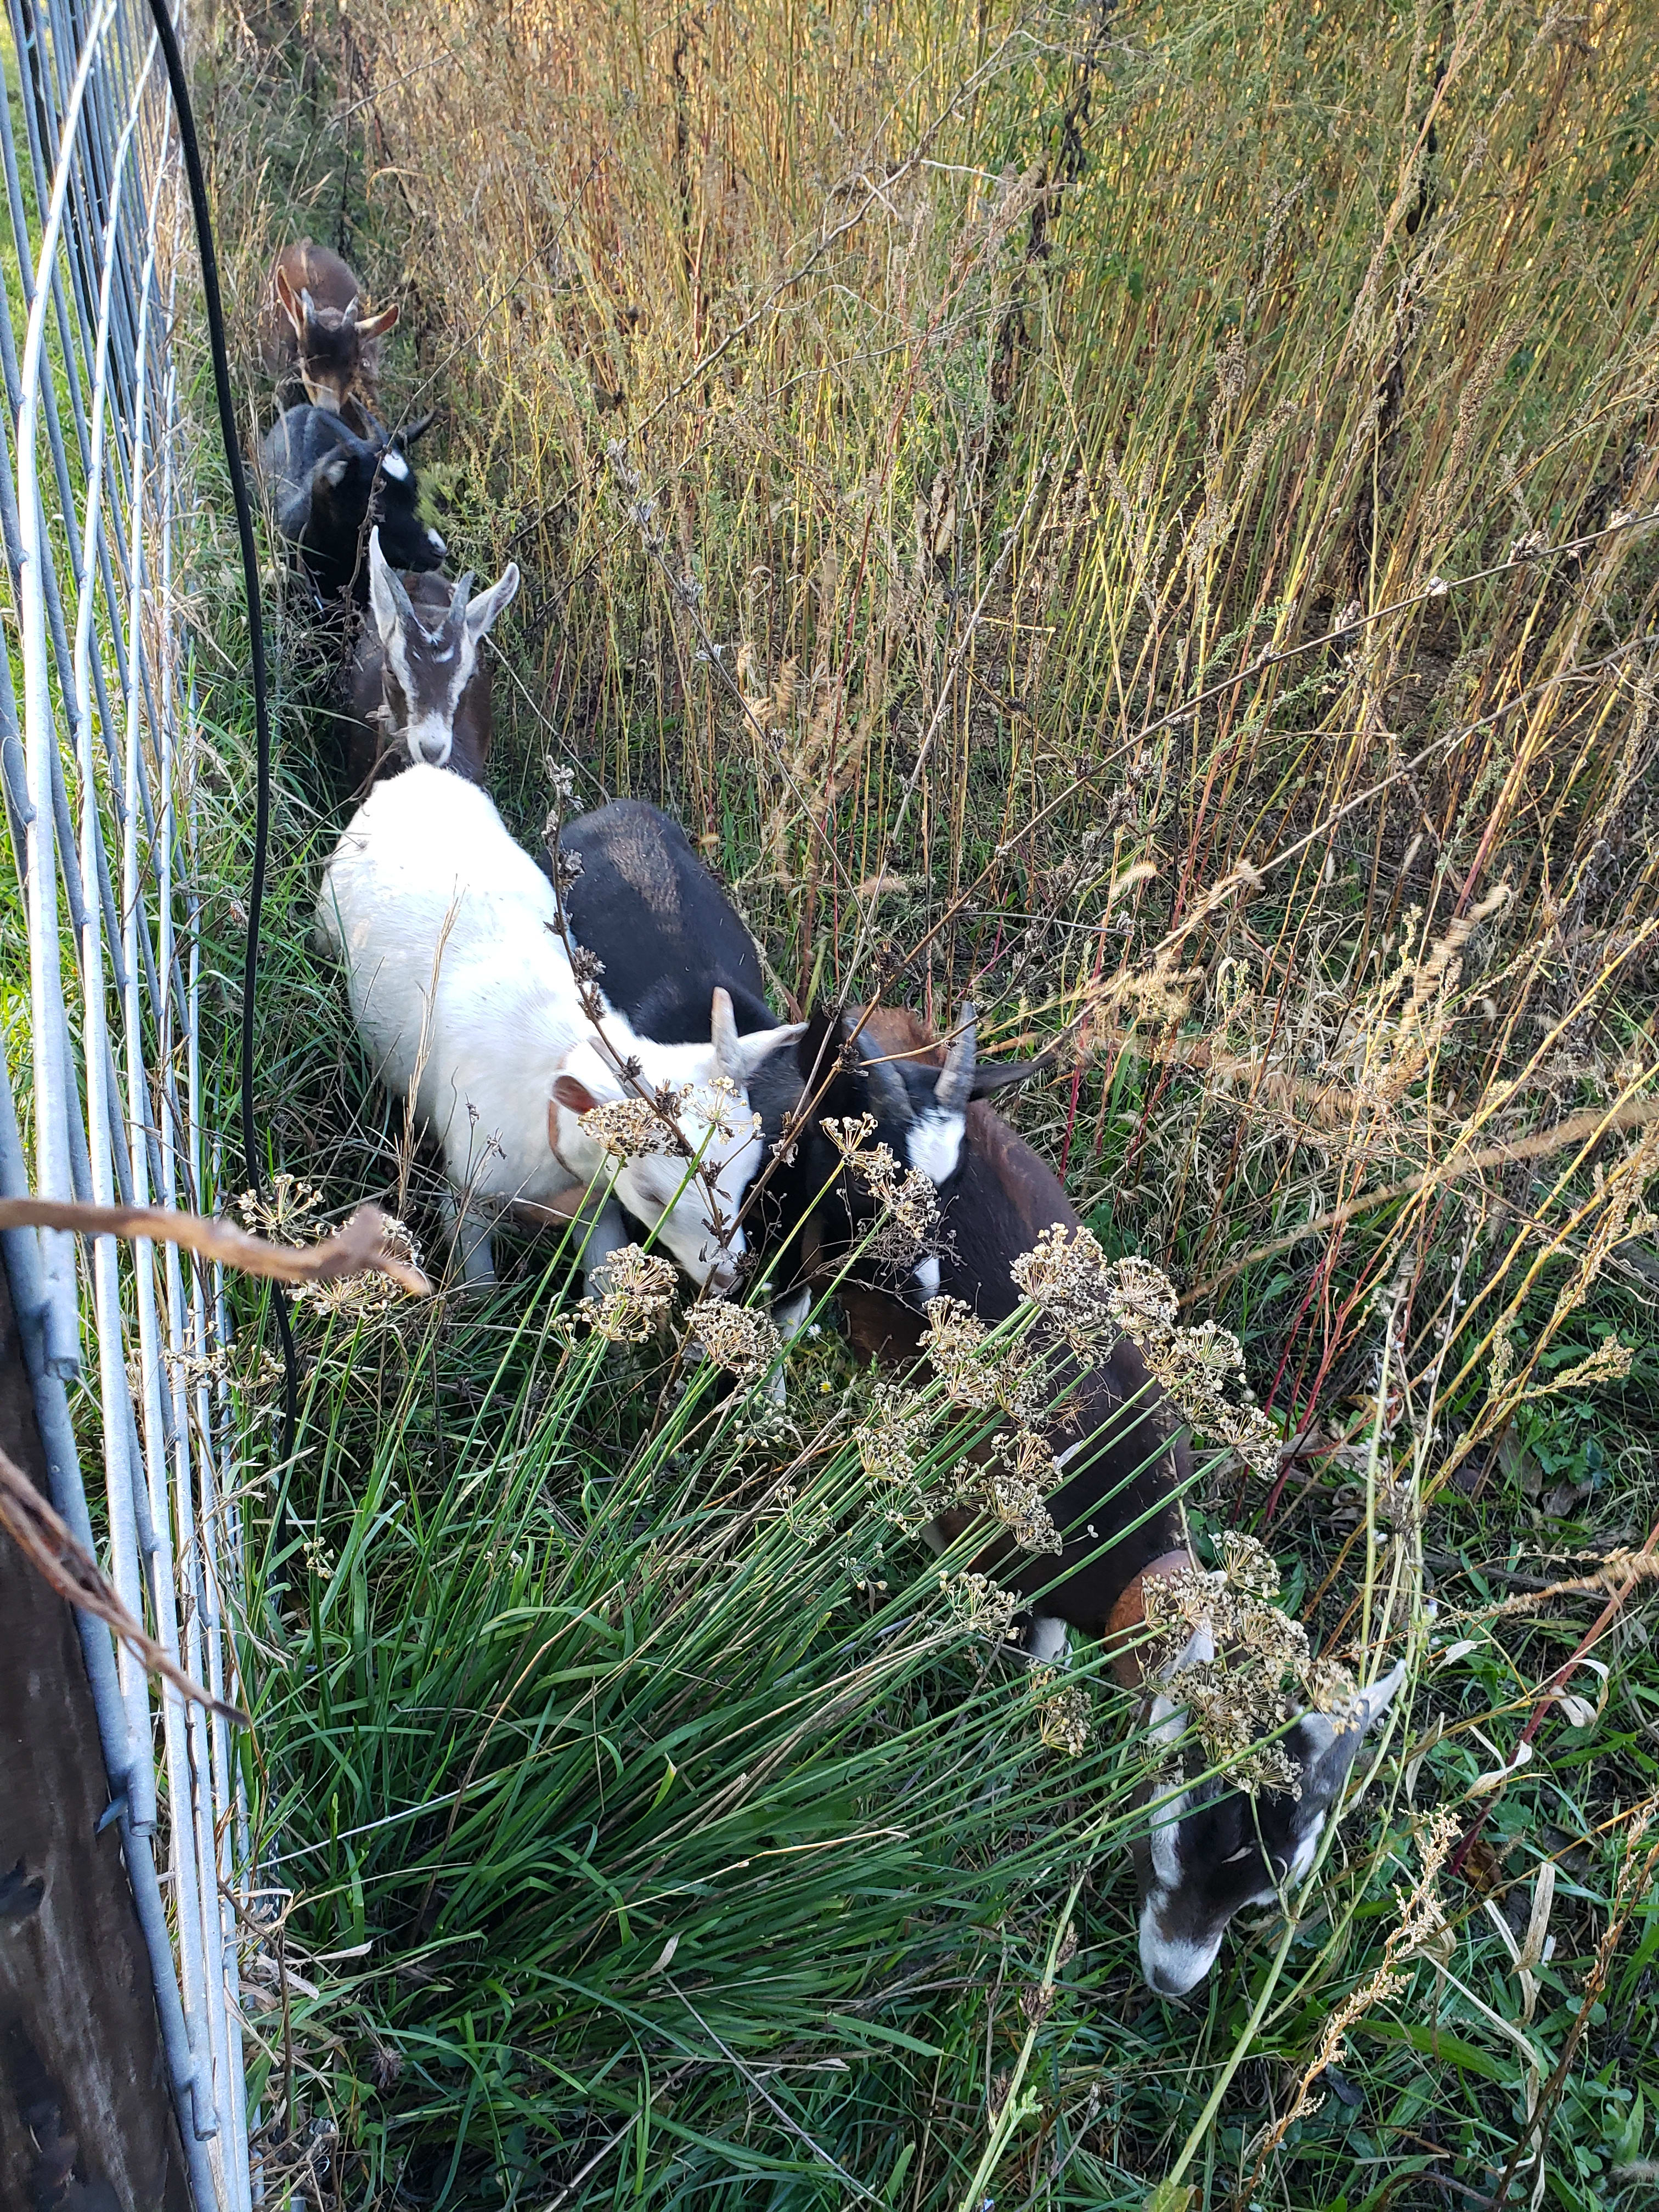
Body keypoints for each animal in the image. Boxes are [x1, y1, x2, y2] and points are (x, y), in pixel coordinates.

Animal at [315, 766, 803, 1289]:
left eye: (750, 1175)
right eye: (651, 1193)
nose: (726, 1277)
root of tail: (416, 773)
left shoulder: (596, 1199)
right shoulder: (467, 1191)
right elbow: (477, 1285)